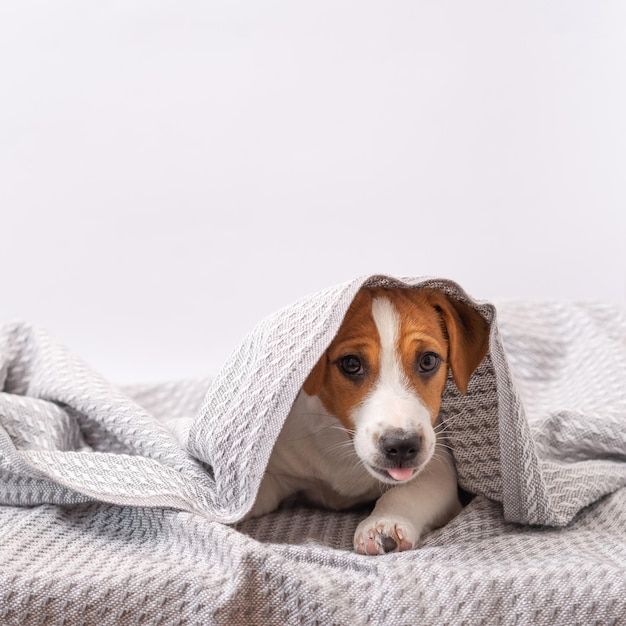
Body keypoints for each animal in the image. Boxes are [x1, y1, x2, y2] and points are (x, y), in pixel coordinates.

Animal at [246, 286, 490, 552]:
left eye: (428, 360)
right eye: (351, 363)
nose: (402, 445)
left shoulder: (437, 469)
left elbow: (406, 492)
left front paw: (384, 523)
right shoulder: (274, 472)